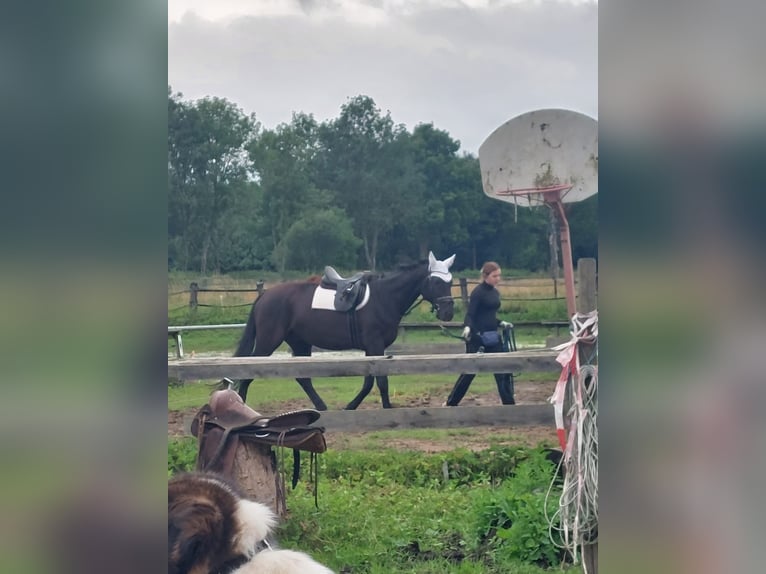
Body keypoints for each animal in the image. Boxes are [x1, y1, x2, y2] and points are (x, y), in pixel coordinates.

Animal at [234, 252, 456, 410]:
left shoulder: (372, 349)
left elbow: (369, 381)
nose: (448, 312)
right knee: (248, 369)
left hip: (300, 343)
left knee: (303, 377)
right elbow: (381, 380)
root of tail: (265, 295)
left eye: (450, 281)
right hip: (268, 342)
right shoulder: (375, 345)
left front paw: (352, 406)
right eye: (436, 281)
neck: (384, 297)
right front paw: (386, 408)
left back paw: (321, 407)